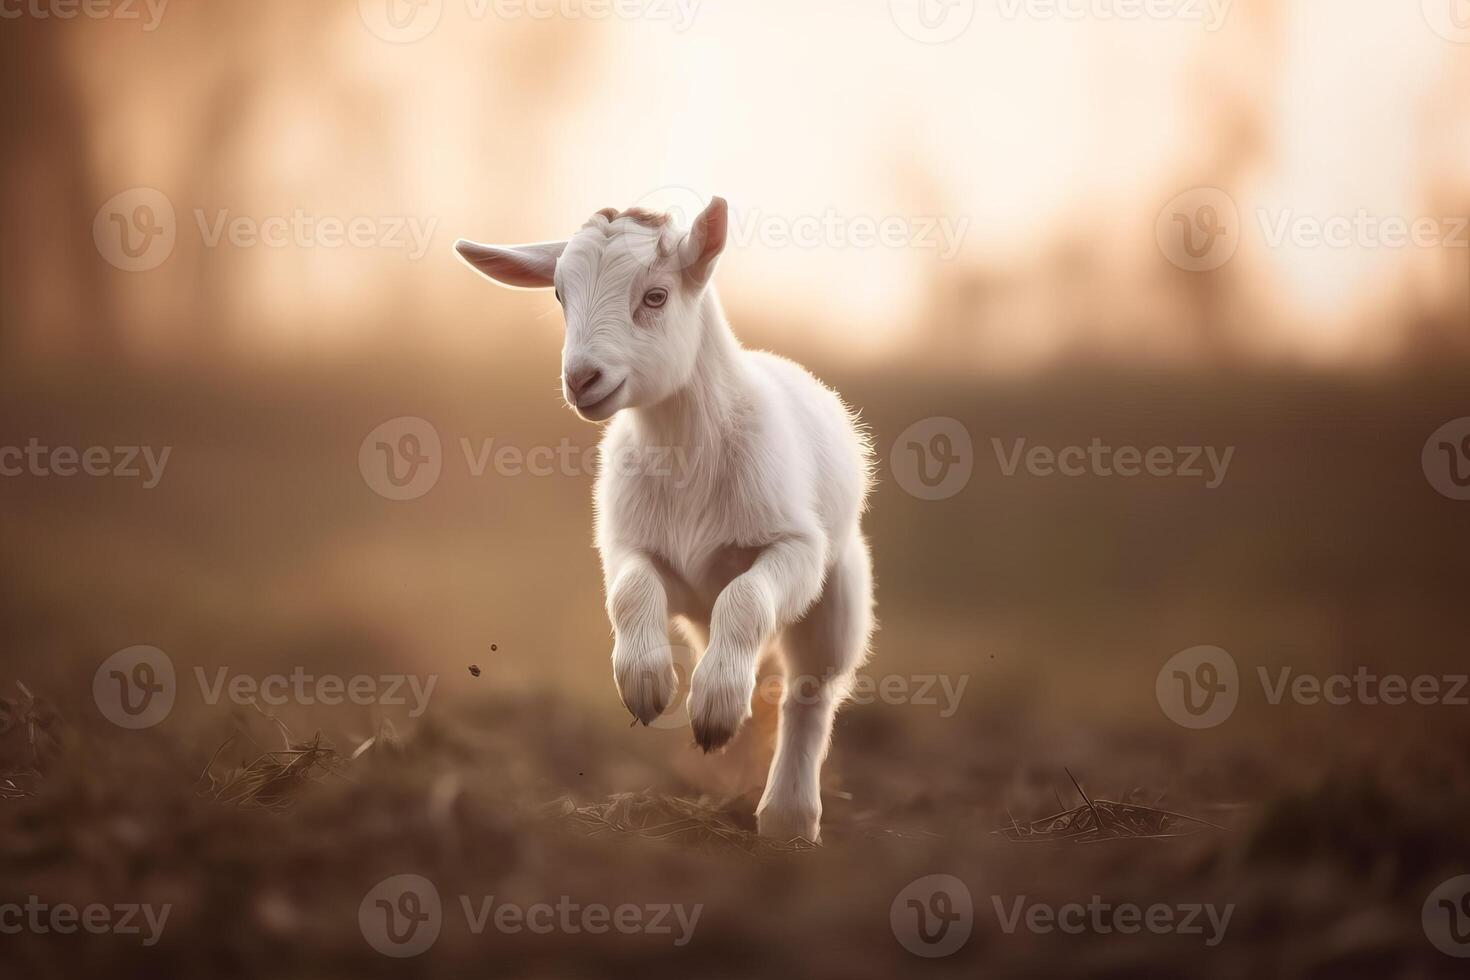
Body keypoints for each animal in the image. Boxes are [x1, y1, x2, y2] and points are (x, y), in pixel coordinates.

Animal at [458, 199, 870, 846]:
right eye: (559, 294)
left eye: (656, 296)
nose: (581, 378)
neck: (686, 451)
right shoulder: (630, 546)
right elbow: (630, 594)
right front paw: (647, 683)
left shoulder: (795, 546)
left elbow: (746, 601)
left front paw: (717, 704)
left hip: (838, 591)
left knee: (810, 692)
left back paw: (788, 818)